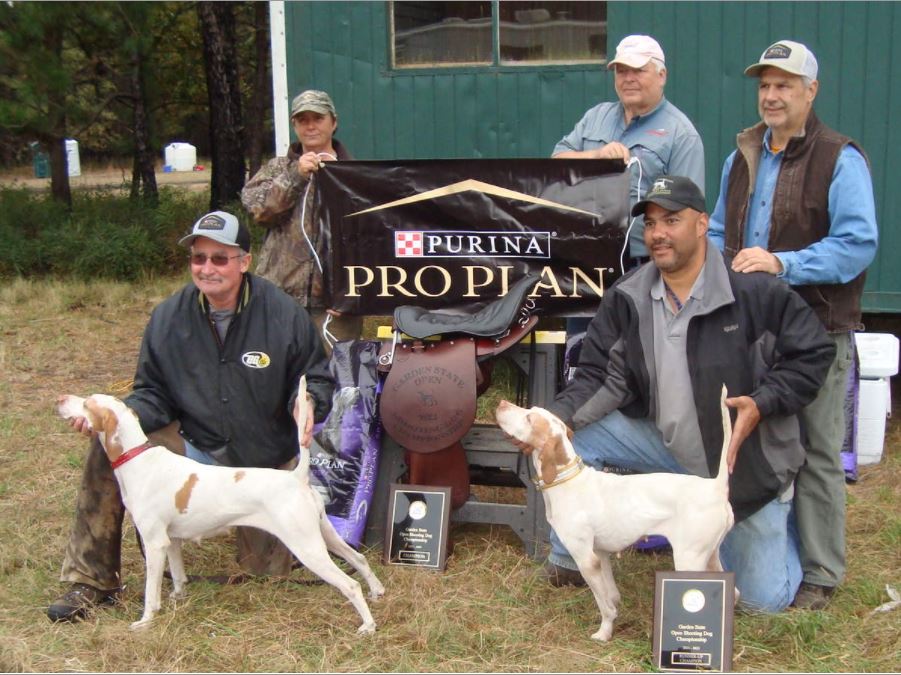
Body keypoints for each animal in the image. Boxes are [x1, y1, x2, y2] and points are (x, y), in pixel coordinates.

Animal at [59, 378, 384, 632]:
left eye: (88, 404)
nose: (61, 399)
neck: (139, 458)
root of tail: (297, 477)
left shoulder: (154, 543)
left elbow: (152, 592)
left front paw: (146, 621)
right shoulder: (171, 541)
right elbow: (178, 577)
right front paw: (178, 600)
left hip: (307, 547)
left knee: (350, 585)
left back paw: (368, 625)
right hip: (325, 536)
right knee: (360, 560)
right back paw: (377, 591)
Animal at [496, 388, 736, 640]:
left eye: (529, 419)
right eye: (530, 411)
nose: (501, 403)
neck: (568, 482)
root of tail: (716, 487)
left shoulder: (586, 559)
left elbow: (605, 606)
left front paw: (604, 633)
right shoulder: (601, 555)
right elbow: (612, 595)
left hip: (689, 559)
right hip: (710, 557)